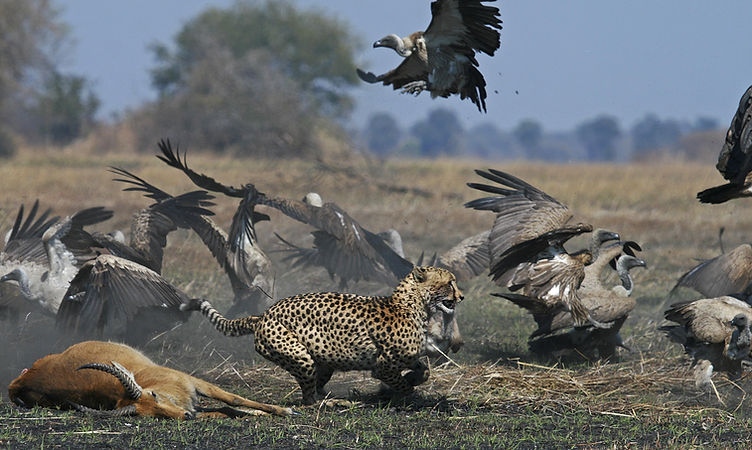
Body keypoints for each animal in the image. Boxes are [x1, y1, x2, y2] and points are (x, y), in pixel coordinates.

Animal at [181, 266, 463, 404]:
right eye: (450, 282)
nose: (461, 296)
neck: (414, 304)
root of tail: (263, 315)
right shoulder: (383, 366)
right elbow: (401, 383)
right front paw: (404, 393)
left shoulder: (407, 357)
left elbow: (423, 370)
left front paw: (415, 379)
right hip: (299, 356)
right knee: (308, 399)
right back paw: (329, 404)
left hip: (324, 362)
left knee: (316, 386)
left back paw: (331, 398)